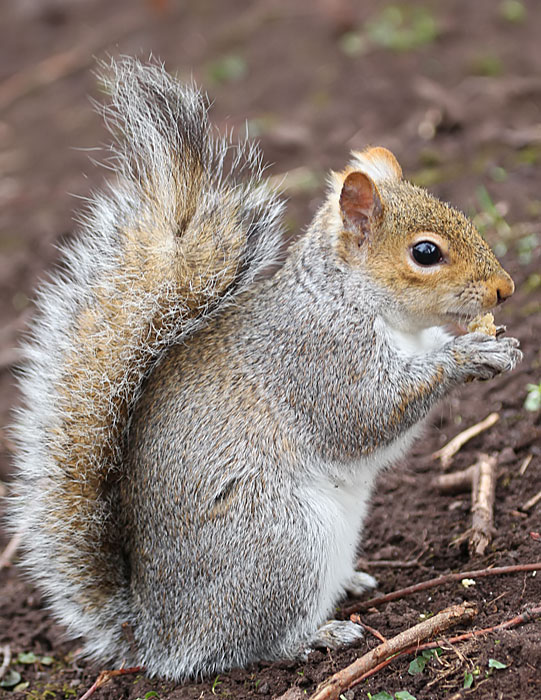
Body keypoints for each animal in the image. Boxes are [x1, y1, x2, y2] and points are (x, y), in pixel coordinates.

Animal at [9, 58, 522, 680]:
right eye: (426, 253)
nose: (505, 288)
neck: (355, 300)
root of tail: (157, 634)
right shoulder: (317, 358)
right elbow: (367, 415)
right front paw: (470, 355)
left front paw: (496, 345)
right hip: (281, 545)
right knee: (248, 645)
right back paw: (318, 636)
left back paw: (349, 584)